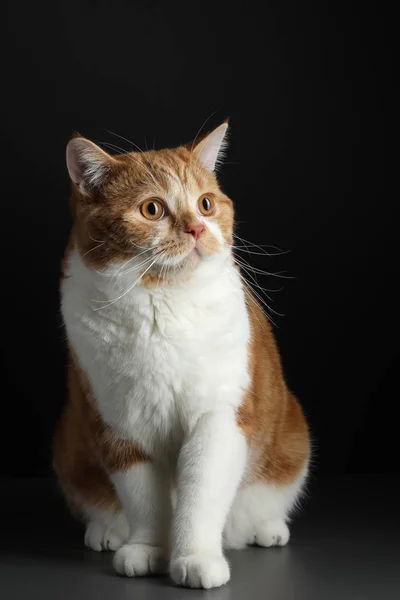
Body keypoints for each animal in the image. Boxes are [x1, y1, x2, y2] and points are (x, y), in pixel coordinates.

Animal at [52, 123, 310, 592]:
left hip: (291, 443)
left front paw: (195, 557)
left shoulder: (220, 418)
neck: (162, 305)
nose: (195, 229)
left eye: (205, 204)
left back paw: (266, 527)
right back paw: (107, 531)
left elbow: (200, 493)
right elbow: (142, 498)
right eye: (152, 209)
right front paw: (147, 550)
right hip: (70, 447)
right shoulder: (122, 426)